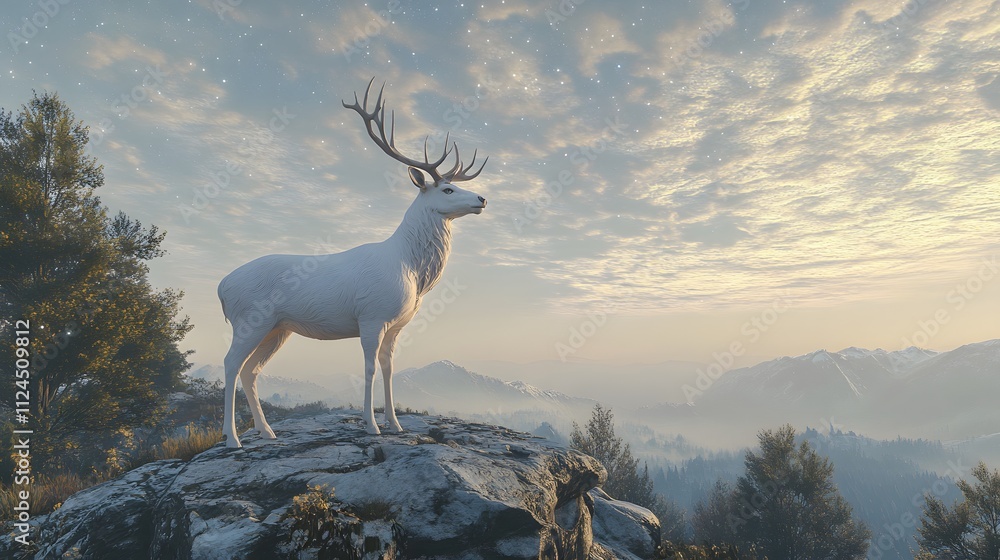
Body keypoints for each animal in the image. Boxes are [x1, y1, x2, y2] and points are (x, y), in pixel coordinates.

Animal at [217, 78, 488, 448]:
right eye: (446, 190)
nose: (482, 198)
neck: (412, 270)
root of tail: (221, 288)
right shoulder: (371, 316)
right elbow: (369, 368)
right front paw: (371, 425)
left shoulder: (397, 324)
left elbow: (389, 368)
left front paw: (395, 423)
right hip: (249, 319)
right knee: (230, 363)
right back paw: (233, 438)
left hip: (277, 328)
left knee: (250, 369)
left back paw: (266, 430)